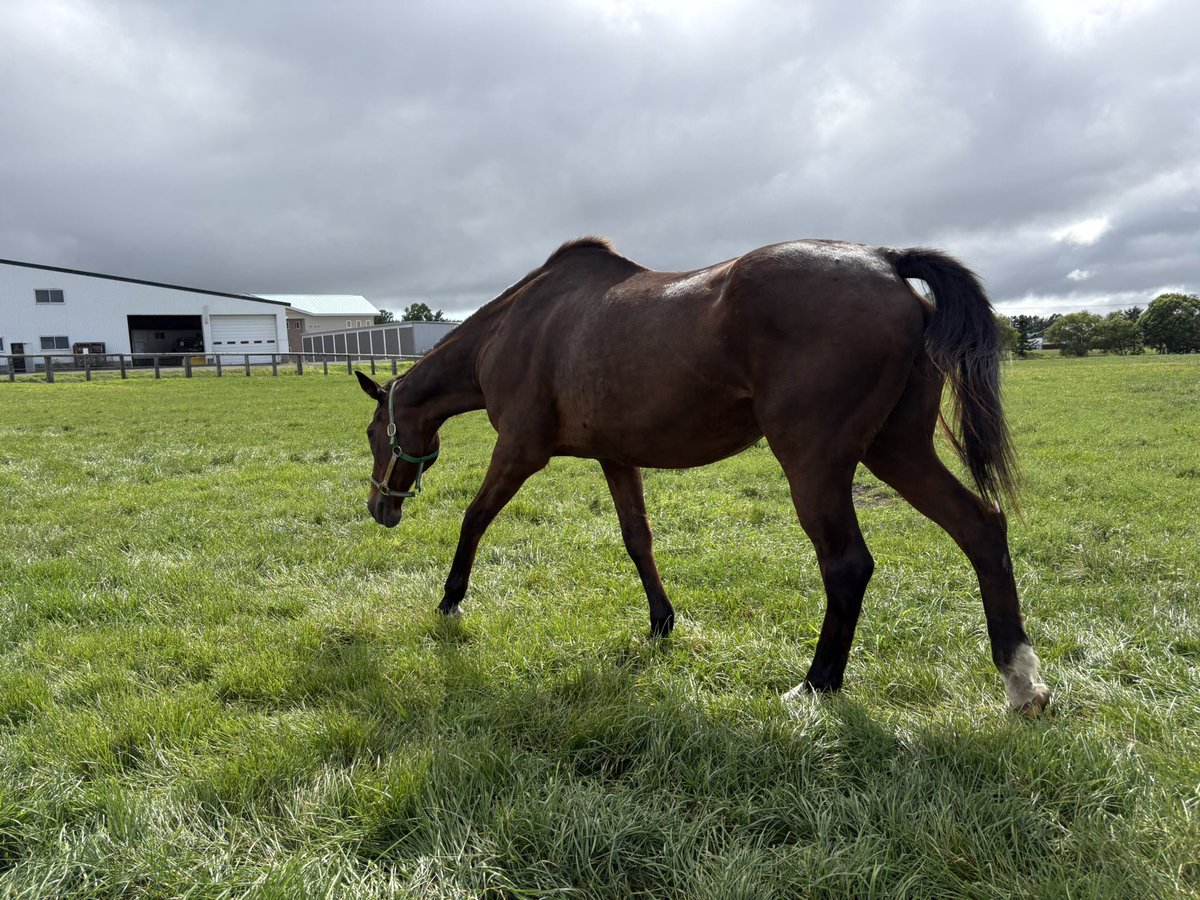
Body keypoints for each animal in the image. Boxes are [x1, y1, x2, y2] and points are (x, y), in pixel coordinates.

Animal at [356, 237, 1050, 713]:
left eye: (370, 433)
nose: (379, 508)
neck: (518, 325)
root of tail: (884, 261)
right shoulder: (617, 457)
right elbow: (638, 540)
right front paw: (662, 622)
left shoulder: (520, 450)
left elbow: (474, 518)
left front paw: (450, 601)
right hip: (897, 450)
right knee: (981, 528)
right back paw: (1021, 679)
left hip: (816, 461)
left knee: (848, 564)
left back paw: (816, 685)